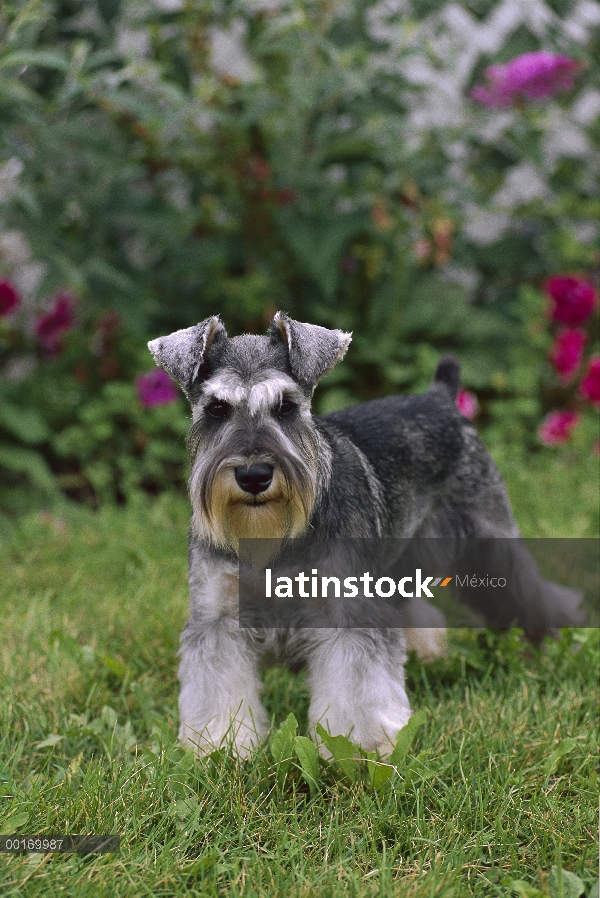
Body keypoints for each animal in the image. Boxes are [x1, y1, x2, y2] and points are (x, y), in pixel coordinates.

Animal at [148, 314, 584, 756]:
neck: (272, 539)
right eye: (217, 408)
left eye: (285, 407)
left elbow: (357, 688)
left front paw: (360, 747)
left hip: (490, 540)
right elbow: (219, 691)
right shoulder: (217, 619)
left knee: (531, 591)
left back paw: (553, 642)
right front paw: (220, 747)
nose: (254, 475)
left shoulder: (348, 617)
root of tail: (441, 397)